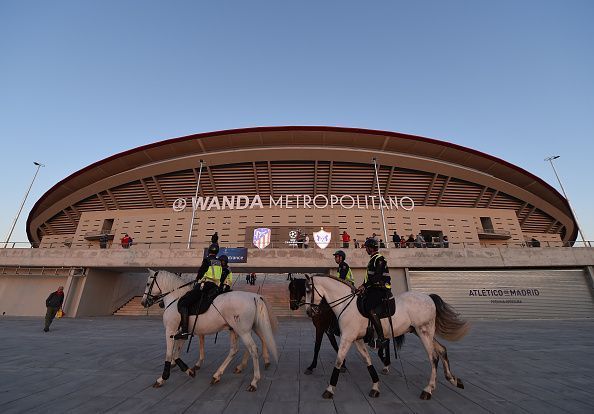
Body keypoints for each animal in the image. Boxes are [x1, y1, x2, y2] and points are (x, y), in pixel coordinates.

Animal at [141, 270, 278, 390]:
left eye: (148, 284)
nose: (143, 302)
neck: (175, 299)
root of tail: (254, 296)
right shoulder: (182, 333)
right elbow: (176, 354)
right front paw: (189, 370)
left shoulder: (170, 331)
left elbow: (169, 354)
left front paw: (162, 378)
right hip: (238, 329)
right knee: (238, 348)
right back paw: (219, 374)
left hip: (242, 331)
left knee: (253, 349)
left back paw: (254, 381)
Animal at [306, 276, 468, 400]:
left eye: (308, 290)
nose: (309, 311)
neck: (346, 303)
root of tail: (428, 297)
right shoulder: (357, 339)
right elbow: (367, 360)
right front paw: (375, 386)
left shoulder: (347, 337)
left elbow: (338, 361)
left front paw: (329, 389)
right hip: (421, 332)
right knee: (442, 350)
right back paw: (453, 380)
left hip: (424, 332)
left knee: (433, 357)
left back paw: (428, 389)